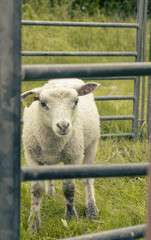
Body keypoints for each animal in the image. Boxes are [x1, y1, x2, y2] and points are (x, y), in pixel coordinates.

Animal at [21, 79, 99, 234]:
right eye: (43, 103)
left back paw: (92, 211)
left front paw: (71, 217)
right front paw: (33, 225)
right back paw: (50, 193)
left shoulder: (74, 156)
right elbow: (36, 191)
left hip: (91, 146)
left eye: (76, 101)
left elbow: (68, 188)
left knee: (88, 180)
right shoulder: (31, 157)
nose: (63, 126)